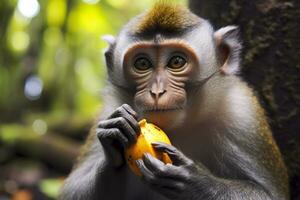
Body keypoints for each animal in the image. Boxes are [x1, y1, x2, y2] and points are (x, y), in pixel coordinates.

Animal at [58, 1, 288, 200]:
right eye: (142, 63)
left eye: (177, 61)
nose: (157, 92)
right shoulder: (109, 107)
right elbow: (72, 191)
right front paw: (114, 139)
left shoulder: (242, 113)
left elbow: (268, 194)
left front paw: (195, 182)